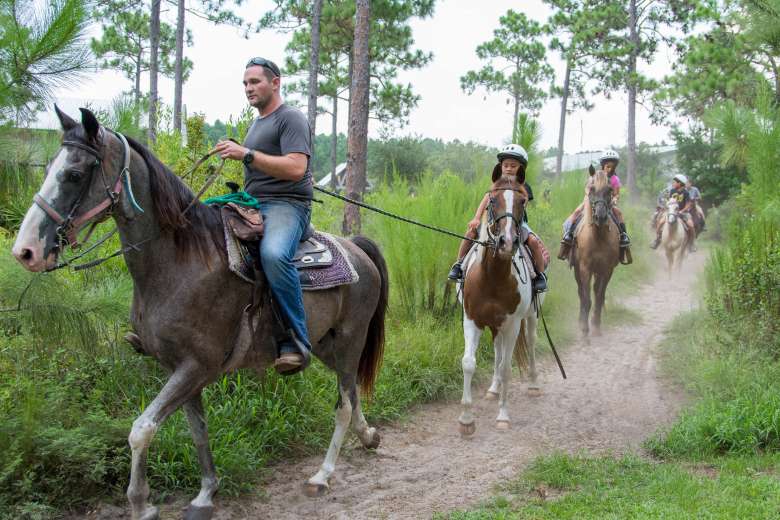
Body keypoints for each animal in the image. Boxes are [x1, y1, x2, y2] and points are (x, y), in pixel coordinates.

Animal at [12, 106, 390, 520]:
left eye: (75, 174)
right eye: (50, 167)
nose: (26, 251)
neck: (181, 261)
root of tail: (355, 248)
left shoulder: (197, 365)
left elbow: (141, 429)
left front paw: (141, 503)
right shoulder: (178, 366)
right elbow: (198, 430)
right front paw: (206, 493)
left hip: (351, 337)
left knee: (343, 404)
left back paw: (322, 475)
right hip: (324, 343)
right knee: (350, 390)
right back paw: (368, 435)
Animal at [458, 175, 544, 434]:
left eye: (523, 201)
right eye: (492, 200)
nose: (507, 242)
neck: (492, 277)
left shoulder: (512, 325)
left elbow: (507, 369)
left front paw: (503, 416)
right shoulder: (472, 320)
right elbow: (468, 363)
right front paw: (466, 419)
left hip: (529, 318)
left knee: (531, 344)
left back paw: (533, 385)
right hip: (495, 326)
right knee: (497, 350)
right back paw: (493, 390)